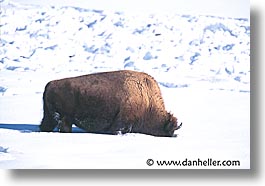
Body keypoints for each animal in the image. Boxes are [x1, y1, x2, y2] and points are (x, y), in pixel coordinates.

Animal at [39, 70, 180, 137]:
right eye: (168, 128)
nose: (173, 135)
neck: (147, 101)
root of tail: (49, 84)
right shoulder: (123, 120)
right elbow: (119, 129)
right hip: (63, 117)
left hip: (51, 116)